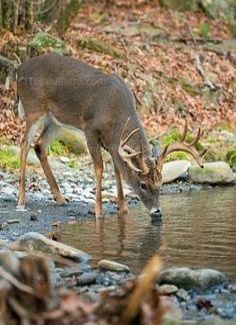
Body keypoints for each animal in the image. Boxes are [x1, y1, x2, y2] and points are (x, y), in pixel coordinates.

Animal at [16, 53, 206, 218]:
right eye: (143, 184)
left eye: (160, 183)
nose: (157, 212)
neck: (115, 113)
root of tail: (20, 70)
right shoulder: (90, 129)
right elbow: (100, 168)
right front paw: (98, 211)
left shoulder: (113, 143)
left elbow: (117, 170)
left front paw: (123, 208)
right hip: (34, 108)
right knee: (24, 144)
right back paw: (21, 200)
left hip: (55, 120)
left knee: (40, 145)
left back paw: (60, 198)